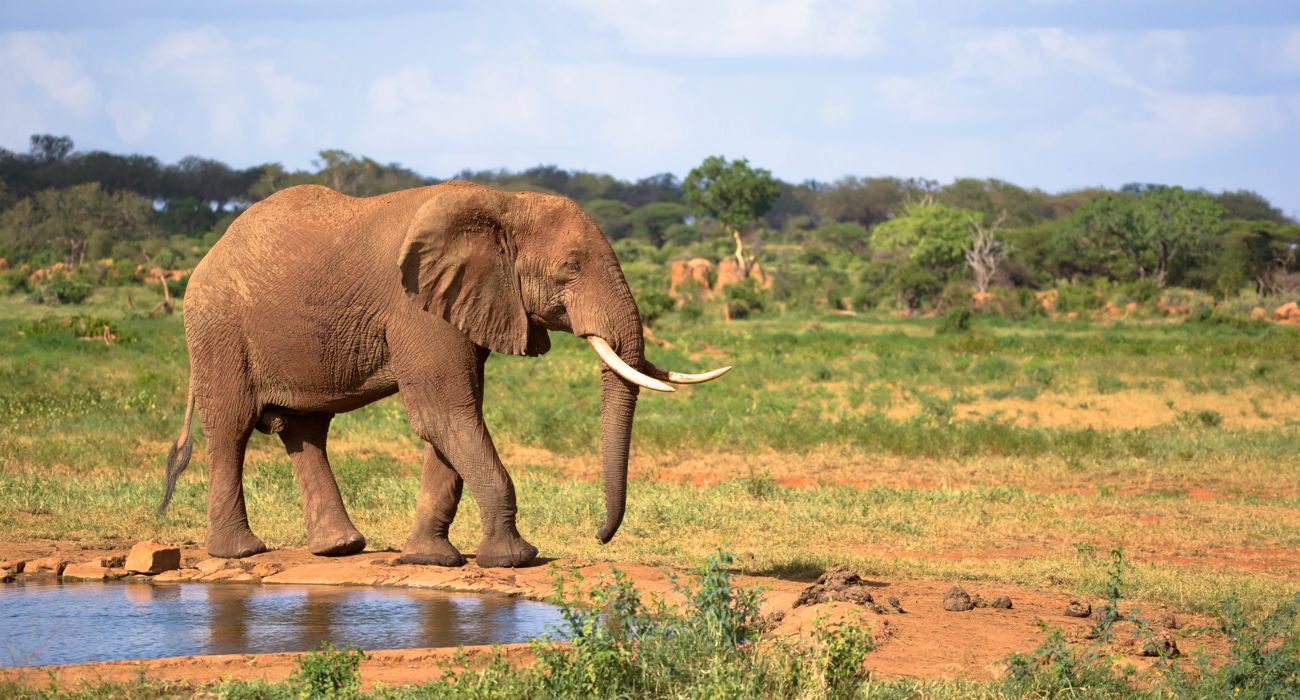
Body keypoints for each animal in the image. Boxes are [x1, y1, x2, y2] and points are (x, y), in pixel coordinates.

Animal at [156, 180, 728, 567]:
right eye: (571, 267)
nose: (599, 536)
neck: (503, 202)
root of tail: (208, 256)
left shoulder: (466, 304)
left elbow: (454, 419)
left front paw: (431, 559)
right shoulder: (417, 308)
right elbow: (445, 414)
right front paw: (516, 557)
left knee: (305, 429)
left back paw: (340, 548)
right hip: (217, 328)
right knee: (231, 427)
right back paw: (239, 552)